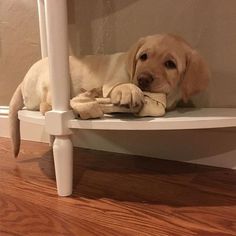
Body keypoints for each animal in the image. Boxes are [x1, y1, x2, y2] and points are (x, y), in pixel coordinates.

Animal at [8, 34, 210, 157]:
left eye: (170, 64)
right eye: (143, 57)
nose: (142, 79)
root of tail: (23, 81)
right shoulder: (112, 82)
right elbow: (122, 85)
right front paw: (130, 90)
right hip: (51, 81)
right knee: (45, 106)